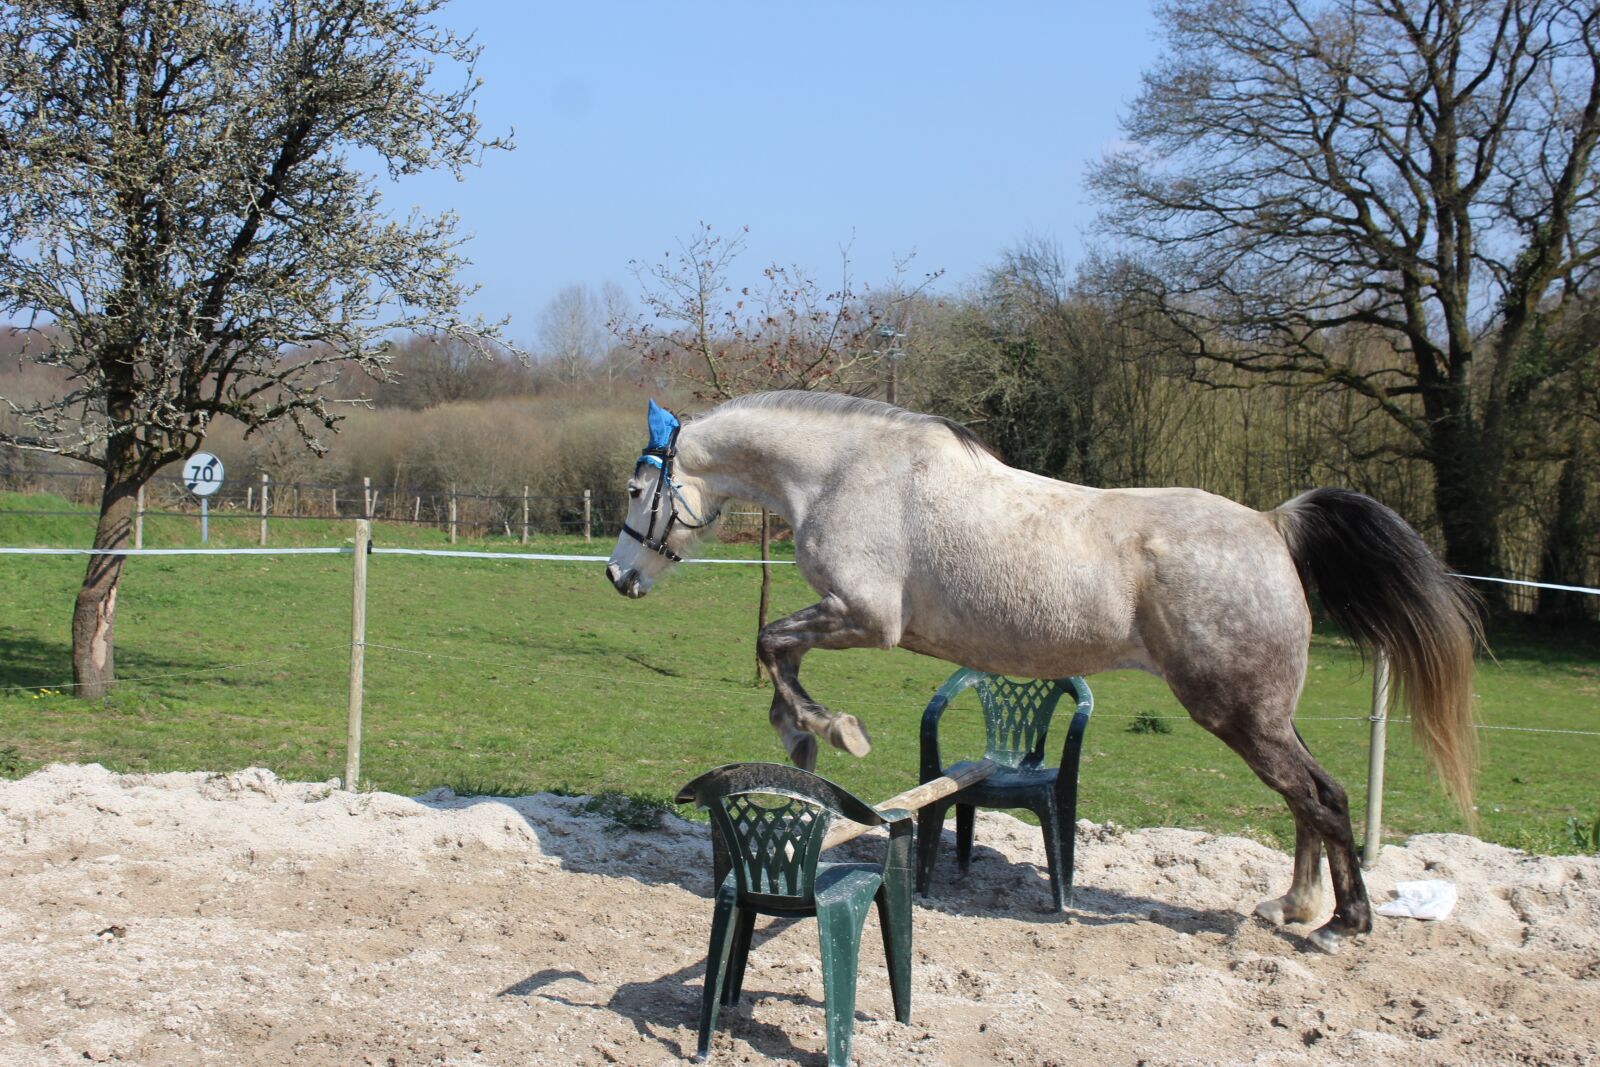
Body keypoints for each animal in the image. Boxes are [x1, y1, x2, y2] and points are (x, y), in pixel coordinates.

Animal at [605, 391, 1481, 952]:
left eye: (639, 487)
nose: (619, 577)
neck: (843, 469)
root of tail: (1272, 526)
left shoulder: (863, 617)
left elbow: (772, 642)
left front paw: (824, 732)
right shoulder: (848, 616)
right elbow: (777, 647)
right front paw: (806, 734)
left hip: (1238, 715)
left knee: (1322, 795)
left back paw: (1343, 923)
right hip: (1265, 716)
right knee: (1306, 797)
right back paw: (1298, 905)